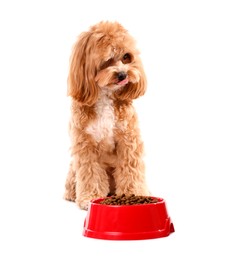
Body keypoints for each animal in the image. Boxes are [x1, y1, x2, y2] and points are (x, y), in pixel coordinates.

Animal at [63, 21, 150, 210]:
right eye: (107, 60)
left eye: (126, 56)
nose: (123, 75)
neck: (105, 95)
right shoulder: (85, 145)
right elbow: (90, 173)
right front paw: (90, 197)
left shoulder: (128, 140)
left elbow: (130, 169)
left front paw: (133, 194)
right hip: (73, 169)